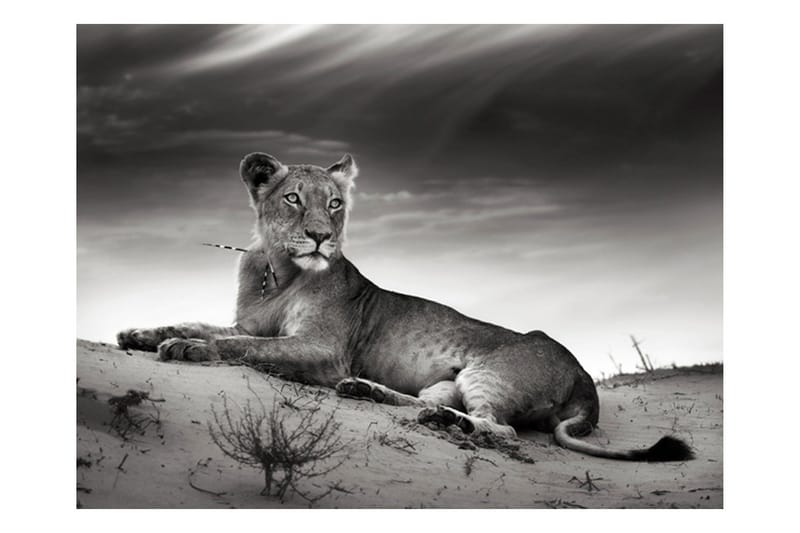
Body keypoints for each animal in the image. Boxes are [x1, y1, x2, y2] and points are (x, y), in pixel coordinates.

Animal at [117, 152, 693, 461]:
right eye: (292, 198)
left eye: (334, 203)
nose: (321, 237)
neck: (277, 270)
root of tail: (585, 379)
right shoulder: (253, 322)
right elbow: (209, 324)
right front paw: (141, 334)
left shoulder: (323, 350)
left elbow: (242, 346)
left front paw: (188, 348)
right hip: (447, 380)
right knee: (426, 402)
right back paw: (371, 393)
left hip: (489, 372)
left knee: (499, 428)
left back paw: (443, 423)